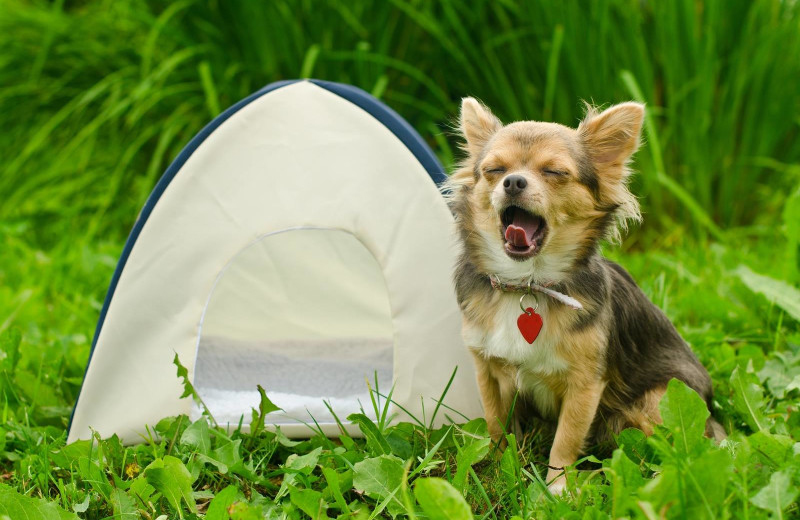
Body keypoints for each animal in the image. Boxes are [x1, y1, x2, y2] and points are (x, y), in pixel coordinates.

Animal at [444, 99, 724, 494]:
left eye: (555, 172)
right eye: (494, 171)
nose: (512, 182)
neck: (528, 284)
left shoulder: (585, 386)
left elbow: (565, 440)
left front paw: (557, 490)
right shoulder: (489, 372)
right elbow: (497, 427)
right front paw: (499, 473)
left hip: (659, 400)